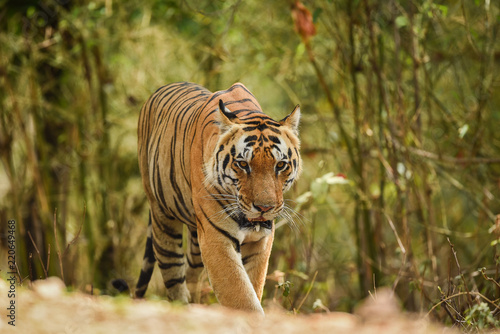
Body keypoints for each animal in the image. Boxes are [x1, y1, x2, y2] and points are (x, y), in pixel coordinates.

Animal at [133, 81, 300, 314]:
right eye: (242, 164)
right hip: (162, 216)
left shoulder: (260, 241)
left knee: (192, 275)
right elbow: (241, 295)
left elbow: (252, 287)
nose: (264, 208)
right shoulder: (216, 238)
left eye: (281, 165)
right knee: (173, 273)